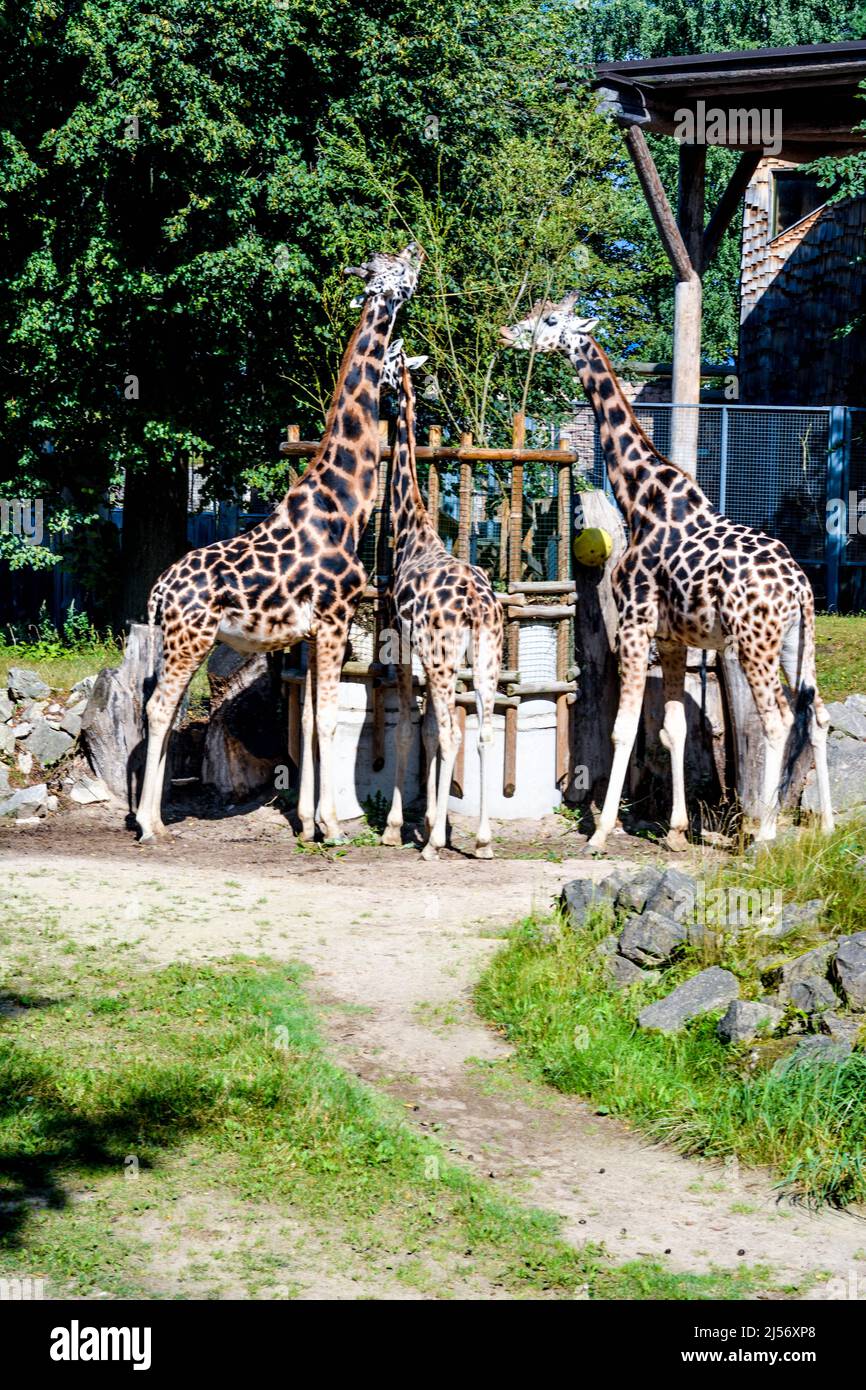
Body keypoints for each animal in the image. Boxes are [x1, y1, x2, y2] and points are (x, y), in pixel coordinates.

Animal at [136, 243, 425, 839]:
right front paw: (333, 826)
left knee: (165, 710)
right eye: (396, 270)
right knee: (158, 709)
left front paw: (311, 823)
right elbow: (327, 719)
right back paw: (150, 824)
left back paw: (154, 817)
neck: (344, 504)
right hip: (191, 639)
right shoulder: (335, 617)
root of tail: (157, 594)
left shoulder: (312, 630)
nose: (418, 250)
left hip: (181, 641)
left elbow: (312, 717)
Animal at [375, 341, 505, 856]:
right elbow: (429, 731)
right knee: (484, 731)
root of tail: (477, 606)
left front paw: (401, 827)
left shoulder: (404, 646)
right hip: (486, 658)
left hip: (445, 658)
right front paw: (435, 819)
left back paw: (431, 845)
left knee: (452, 733)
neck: (413, 534)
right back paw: (484, 839)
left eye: (388, 362)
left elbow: (414, 732)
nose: (379, 388)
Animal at [505, 293, 839, 845]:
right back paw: (828, 825)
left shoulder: (635, 626)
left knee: (777, 720)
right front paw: (677, 829)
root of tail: (800, 588)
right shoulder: (674, 637)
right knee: (817, 715)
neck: (639, 498)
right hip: (797, 641)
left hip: (755, 643)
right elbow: (675, 727)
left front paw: (600, 831)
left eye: (550, 320)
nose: (508, 333)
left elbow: (623, 728)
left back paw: (765, 833)